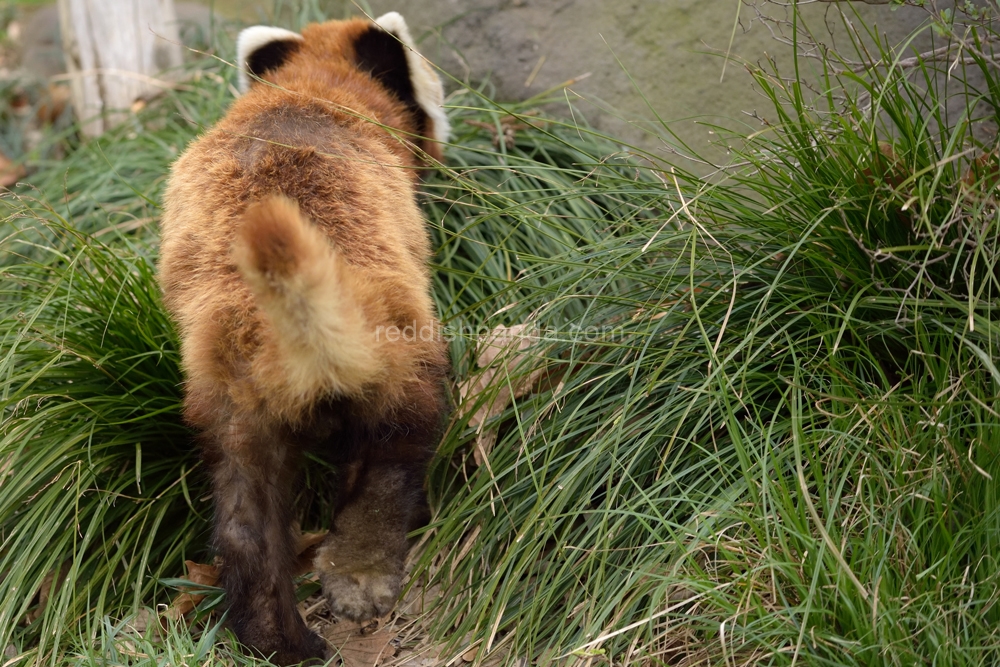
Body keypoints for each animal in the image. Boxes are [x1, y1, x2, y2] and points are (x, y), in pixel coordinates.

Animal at [159, 13, 450, 664]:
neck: (311, 89)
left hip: (230, 396)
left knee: (246, 514)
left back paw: (280, 638)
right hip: (392, 339)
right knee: (398, 440)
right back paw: (362, 570)